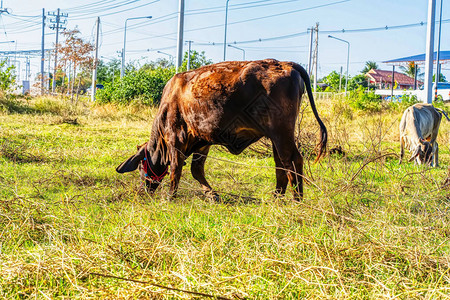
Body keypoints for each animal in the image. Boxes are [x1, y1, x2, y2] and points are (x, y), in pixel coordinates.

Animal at [116, 58, 326, 200]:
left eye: (141, 165)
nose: (144, 189)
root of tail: (286, 64)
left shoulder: (176, 138)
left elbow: (176, 169)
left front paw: (169, 196)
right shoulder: (202, 140)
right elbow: (196, 170)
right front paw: (211, 194)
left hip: (282, 133)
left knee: (293, 160)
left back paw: (297, 199)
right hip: (276, 136)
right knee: (281, 164)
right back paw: (277, 197)